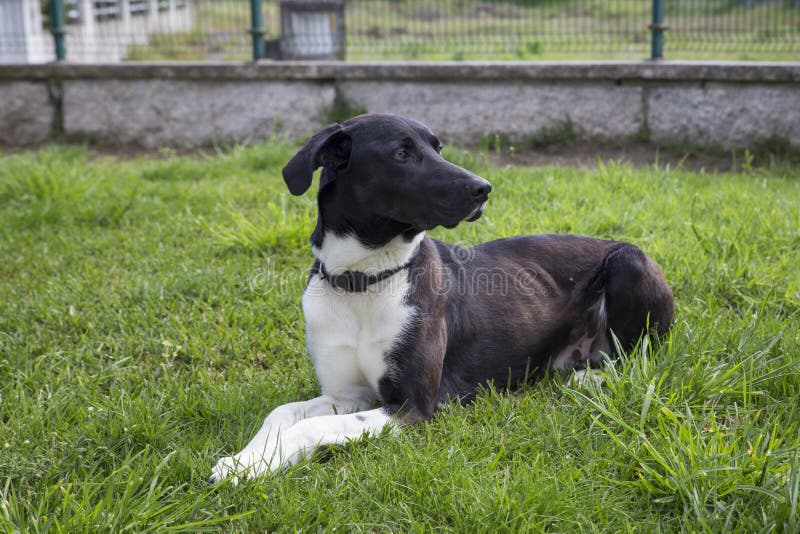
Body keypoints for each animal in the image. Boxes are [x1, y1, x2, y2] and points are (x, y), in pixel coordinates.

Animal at [208, 115, 676, 484]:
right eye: (401, 154)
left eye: (438, 148)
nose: (484, 189)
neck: (365, 278)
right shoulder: (349, 394)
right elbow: (282, 414)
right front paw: (245, 462)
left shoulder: (412, 406)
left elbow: (310, 428)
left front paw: (252, 463)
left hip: (629, 261)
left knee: (637, 358)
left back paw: (588, 377)